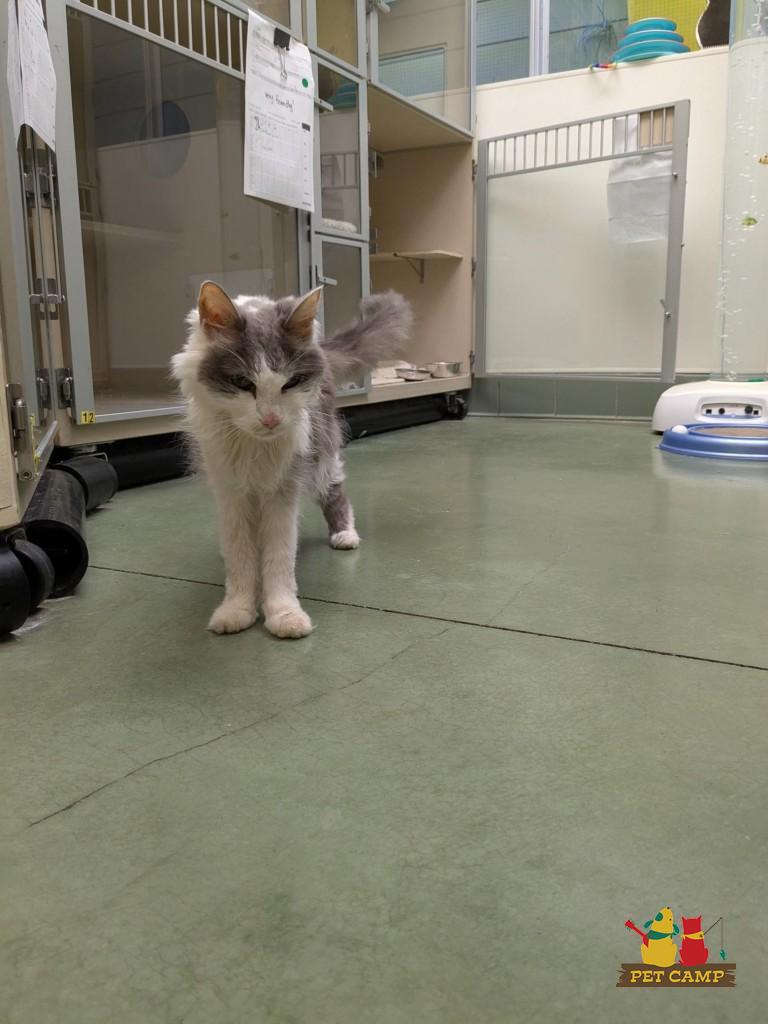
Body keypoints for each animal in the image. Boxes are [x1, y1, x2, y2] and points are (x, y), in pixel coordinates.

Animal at [171, 282, 412, 638]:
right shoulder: (230, 489)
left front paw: (284, 614)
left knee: (337, 493)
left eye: (291, 382)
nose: (271, 419)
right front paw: (236, 609)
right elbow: (240, 556)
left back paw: (345, 535)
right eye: (243, 383)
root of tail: (320, 345)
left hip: (322, 452)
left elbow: (279, 558)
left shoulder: (284, 487)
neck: (255, 447)